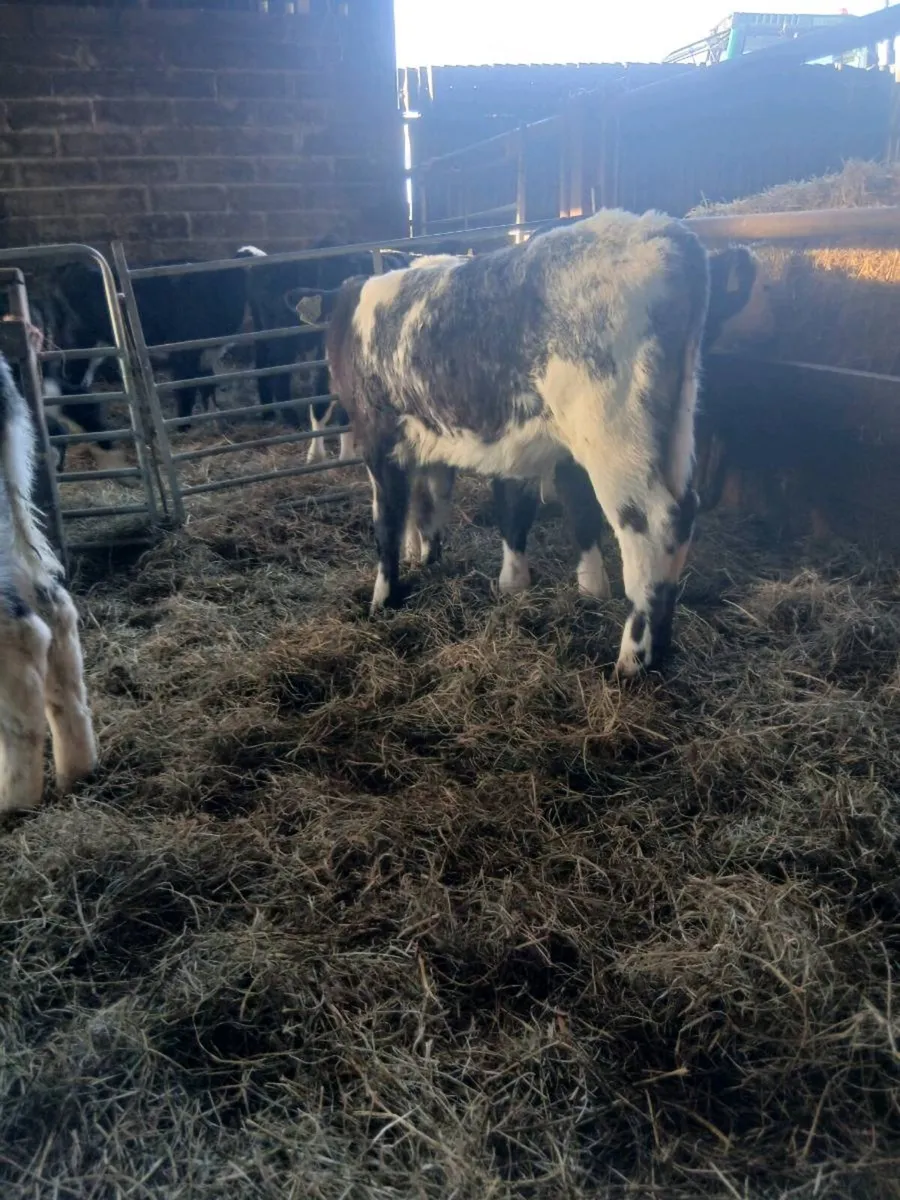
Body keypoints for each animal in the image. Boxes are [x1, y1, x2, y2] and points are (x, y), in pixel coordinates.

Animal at [318, 209, 751, 676]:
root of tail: (665, 234)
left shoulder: (377, 437)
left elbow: (388, 522)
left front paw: (382, 599)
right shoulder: (428, 442)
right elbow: (431, 507)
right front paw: (431, 562)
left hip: (616, 437)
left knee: (653, 524)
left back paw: (632, 660)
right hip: (674, 431)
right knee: (682, 516)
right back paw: (662, 649)